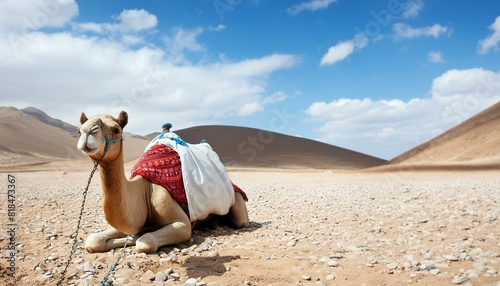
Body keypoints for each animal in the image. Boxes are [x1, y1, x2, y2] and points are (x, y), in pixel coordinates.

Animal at [77, 110, 249, 254]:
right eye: (79, 130)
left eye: (116, 129)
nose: (88, 131)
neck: (143, 191)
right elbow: (93, 240)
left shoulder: (182, 223)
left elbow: (145, 241)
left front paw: (137, 237)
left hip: (237, 203)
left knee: (240, 221)